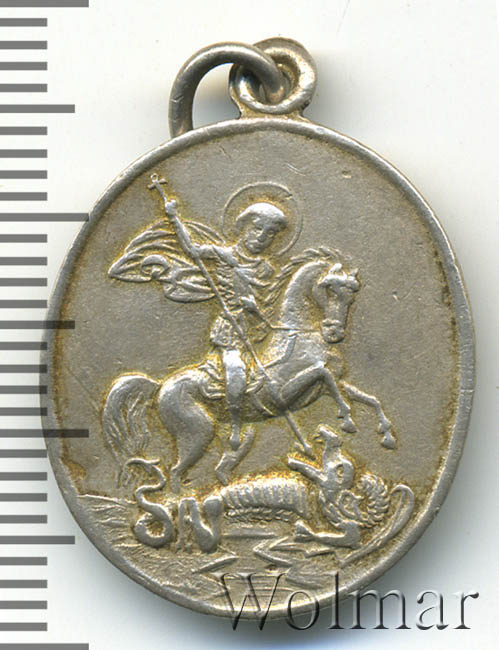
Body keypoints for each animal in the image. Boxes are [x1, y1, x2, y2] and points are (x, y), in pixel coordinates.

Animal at [103, 249, 395, 494]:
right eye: (329, 288)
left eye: (352, 293)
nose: (335, 332)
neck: (297, 335)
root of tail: (159, 386)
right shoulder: (283, 394)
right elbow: (324, 375)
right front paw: (347, 418)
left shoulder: (325, 388)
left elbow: (366, 397)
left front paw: (386, 433)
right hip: (197, 431)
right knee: (175, 472)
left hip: (233, 434)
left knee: (219, 469)